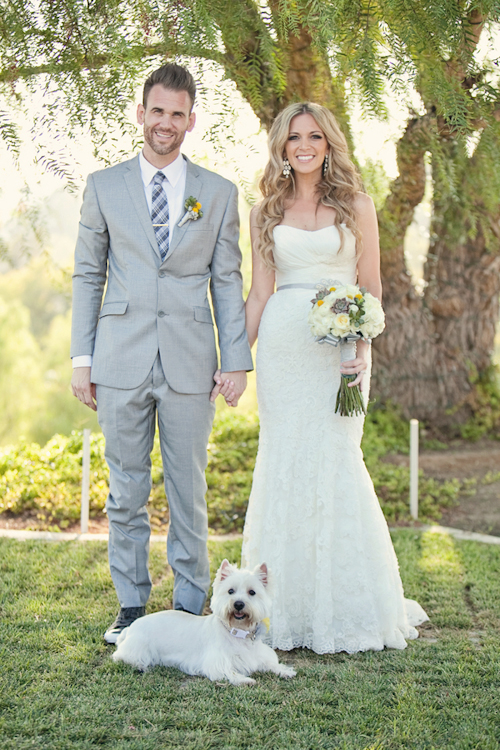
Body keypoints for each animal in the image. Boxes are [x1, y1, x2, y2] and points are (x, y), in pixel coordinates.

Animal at [111, 560, 294, 688]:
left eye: (252, 592)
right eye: (230, 591)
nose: (238, 604)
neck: (237, 631)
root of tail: (130, 628)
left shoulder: (258, 655)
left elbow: (270, 663)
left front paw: (285, 671)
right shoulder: (216, 662)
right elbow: (229, 671)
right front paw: (245, 680)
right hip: (137, 649)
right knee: (121, 656)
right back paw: (141, 665)